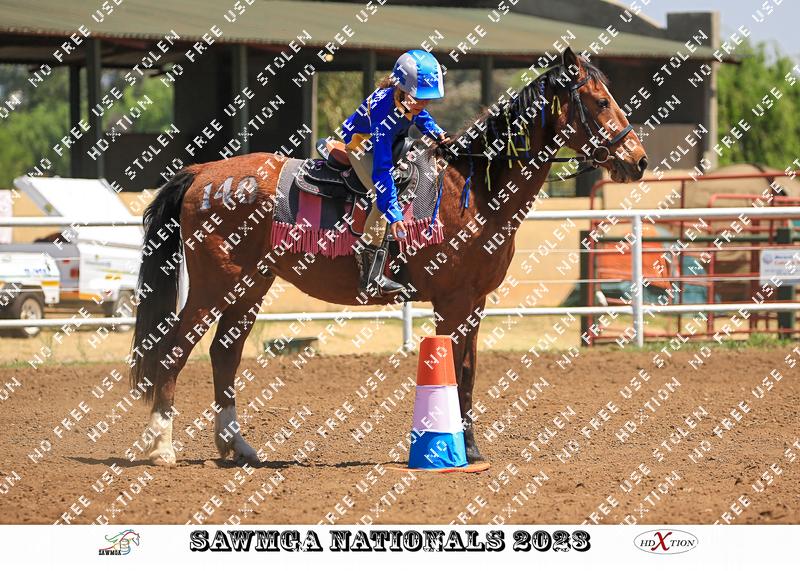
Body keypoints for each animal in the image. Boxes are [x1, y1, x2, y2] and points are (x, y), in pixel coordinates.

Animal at [129, 47, 647, 466]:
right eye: (600, 101)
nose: (638, 160)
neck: (474, 190)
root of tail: (202, 174)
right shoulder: (452, 303)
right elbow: (454, 371)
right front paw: (453, 448)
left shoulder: (475, 302)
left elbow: (468, 373)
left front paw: (473, 448)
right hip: (212, 287)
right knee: (173, 350)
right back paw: (161, 447)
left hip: (249, 286)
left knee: (225, 354)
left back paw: (236, 446)